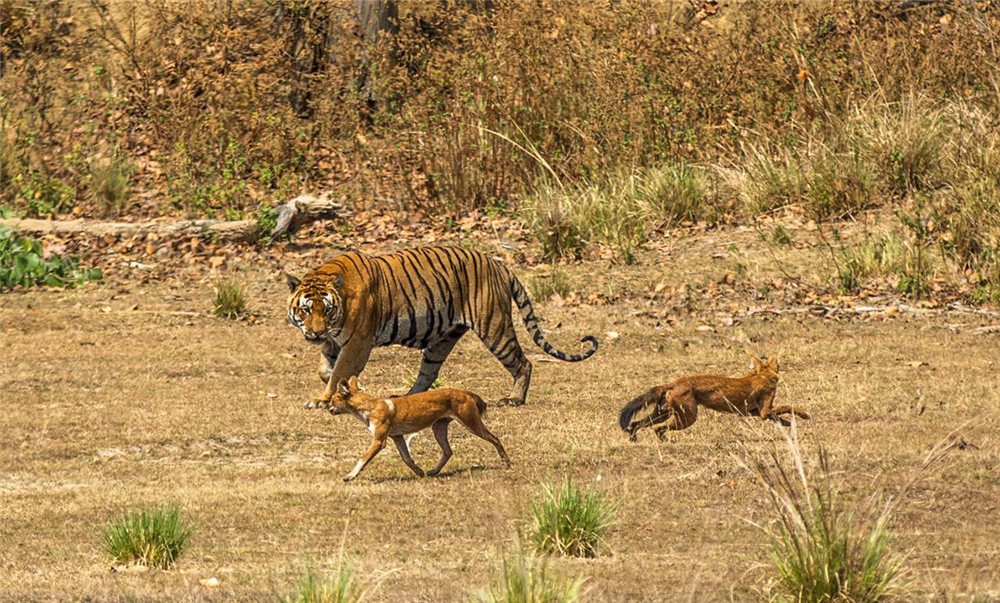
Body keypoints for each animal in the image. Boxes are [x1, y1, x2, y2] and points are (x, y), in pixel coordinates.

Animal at [284, 247, 592, 410]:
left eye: (327, 309)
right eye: (306, 310)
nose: (315, 333)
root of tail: (497, 263)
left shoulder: (358, 342)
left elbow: (339, 371)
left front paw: (325, 399)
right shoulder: (333, 342)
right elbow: (326, 369)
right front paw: (337, 387)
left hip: (494, 327)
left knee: (523, 362)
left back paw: (514, 399)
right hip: (442, 340)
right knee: (428, 373)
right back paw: (406, 396)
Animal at [620, 356, 808, 442]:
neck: (761, 375)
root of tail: (671, 382)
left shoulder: (753, 412)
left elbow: (778, 414)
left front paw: (786, 423)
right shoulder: (764, 410)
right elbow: (787, 407)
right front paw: (802, 416)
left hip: (662, 413)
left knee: (637, 424)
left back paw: (634, 440)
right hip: (687, 417)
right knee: (658, 429)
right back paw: (668, 442)